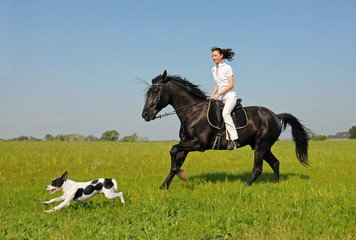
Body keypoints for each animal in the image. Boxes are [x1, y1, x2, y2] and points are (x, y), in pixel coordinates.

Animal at [140, 71, 308, 189]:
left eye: (155, 91)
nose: (145, 115)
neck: (193, 112)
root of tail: (275, 115)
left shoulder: (198, 144)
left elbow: (173, 150)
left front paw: (181, 174)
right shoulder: (186, 143)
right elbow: (175, 160)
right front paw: (164, 186)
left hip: (262, 145)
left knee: (258, 168)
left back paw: (246, 186)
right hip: (262, 146)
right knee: (275, 163)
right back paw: (275, 184)